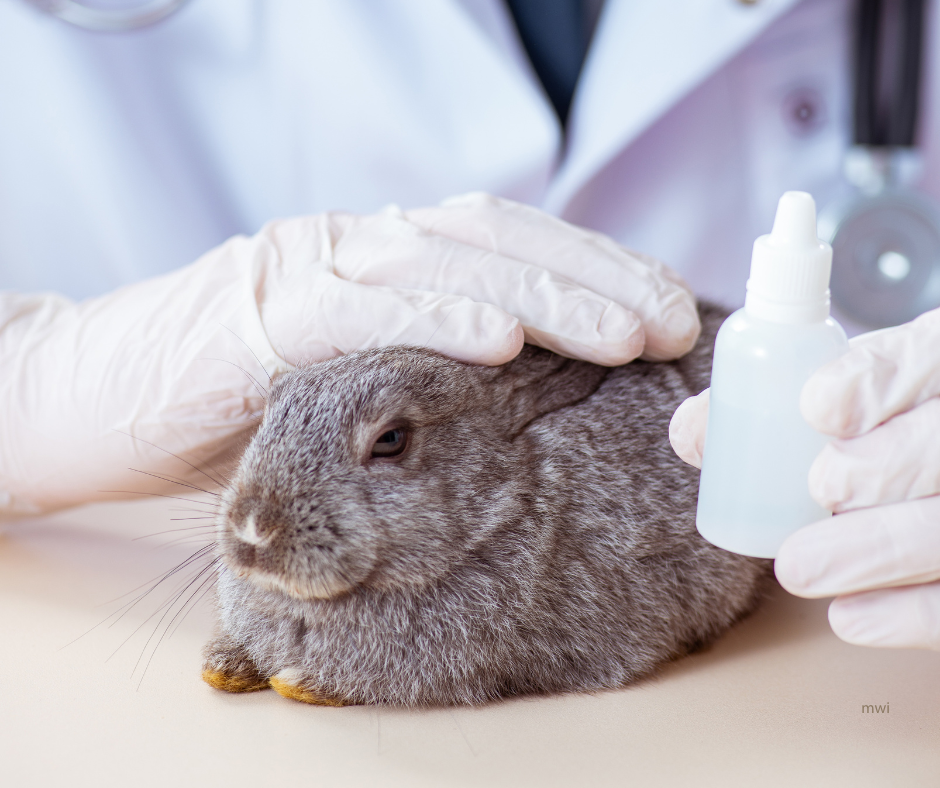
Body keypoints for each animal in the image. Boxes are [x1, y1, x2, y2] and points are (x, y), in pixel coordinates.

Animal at [201, 301, 773, 707]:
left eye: (391, 440)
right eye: (269, 414)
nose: (253, 529)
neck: (499, 510)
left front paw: (299, 680)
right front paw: (225, 665)